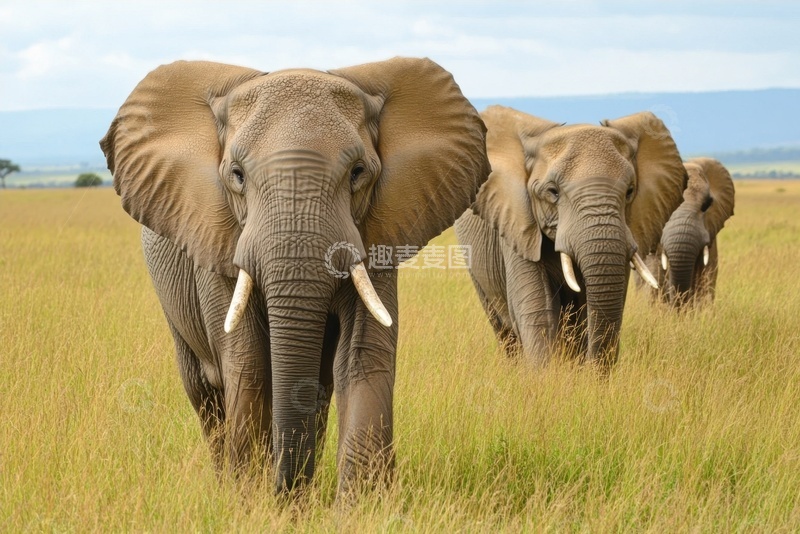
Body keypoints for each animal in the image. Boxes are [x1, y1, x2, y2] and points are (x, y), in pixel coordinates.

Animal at [99, 58, 489, 495]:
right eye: (237, 174)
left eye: (358, 173)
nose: (285, 493)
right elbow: (249, 362)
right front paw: (250, 499)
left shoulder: (379, 230)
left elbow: (362, 356)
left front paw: (362, 504)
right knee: (204, 393)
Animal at [454, 106, 686, 368]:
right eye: (552, 192)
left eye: (630, 191)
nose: (593, 373)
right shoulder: (518, 225)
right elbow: (537, 309)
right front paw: (545, 375)